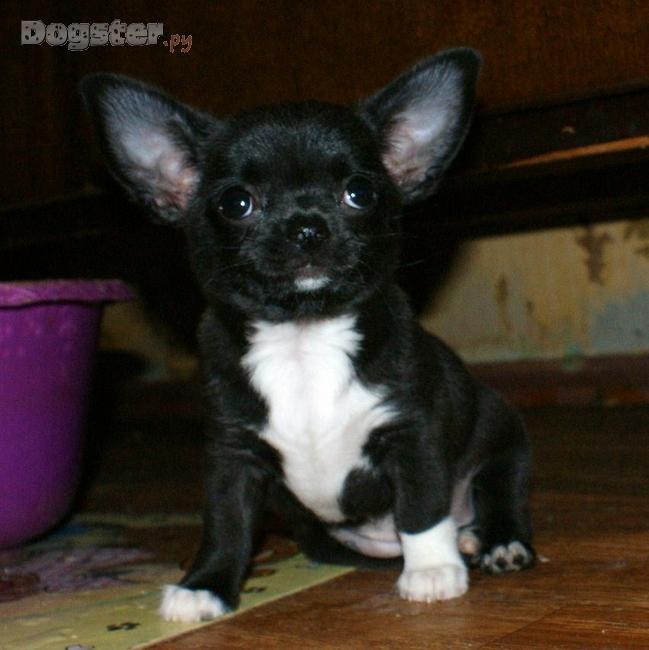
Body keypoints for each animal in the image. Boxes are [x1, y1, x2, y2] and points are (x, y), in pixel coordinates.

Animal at [80, 48, 535, 623]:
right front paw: (205, 584)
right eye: (236, 203)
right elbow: (226, 524)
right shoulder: (234, 455)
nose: (306, 227)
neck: (304, 339)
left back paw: (494, 541)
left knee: (496, 494)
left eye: (360, 193)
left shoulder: (412, 435)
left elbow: (421, 506)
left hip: (504, 446)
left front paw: (432, 570)